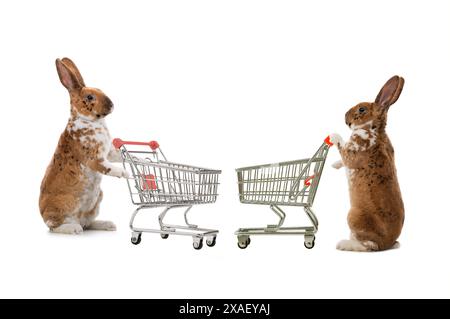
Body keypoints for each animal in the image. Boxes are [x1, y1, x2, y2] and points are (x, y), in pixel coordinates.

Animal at [39, 57, 128, 234]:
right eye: (89, 97)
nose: (112, 105)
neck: (89, 120)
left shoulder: (109, 153)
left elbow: (117, 156)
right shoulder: (95, 159)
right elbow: (107, 167)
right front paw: (124, 173)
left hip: (97, 201)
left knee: (88, 223)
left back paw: (107, 224)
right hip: (64, 206)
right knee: (54, 226)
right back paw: (73, 229)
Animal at [328, 75, 406, 252]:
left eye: (362, 109)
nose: (345, 117)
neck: (373, 130)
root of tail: (386, 244)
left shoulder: (351, 152)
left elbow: (342, 146)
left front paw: (333, 135)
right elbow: (342, 161)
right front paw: (334, 165)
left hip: (353, 217)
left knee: (369, 246)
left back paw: (342, 244)